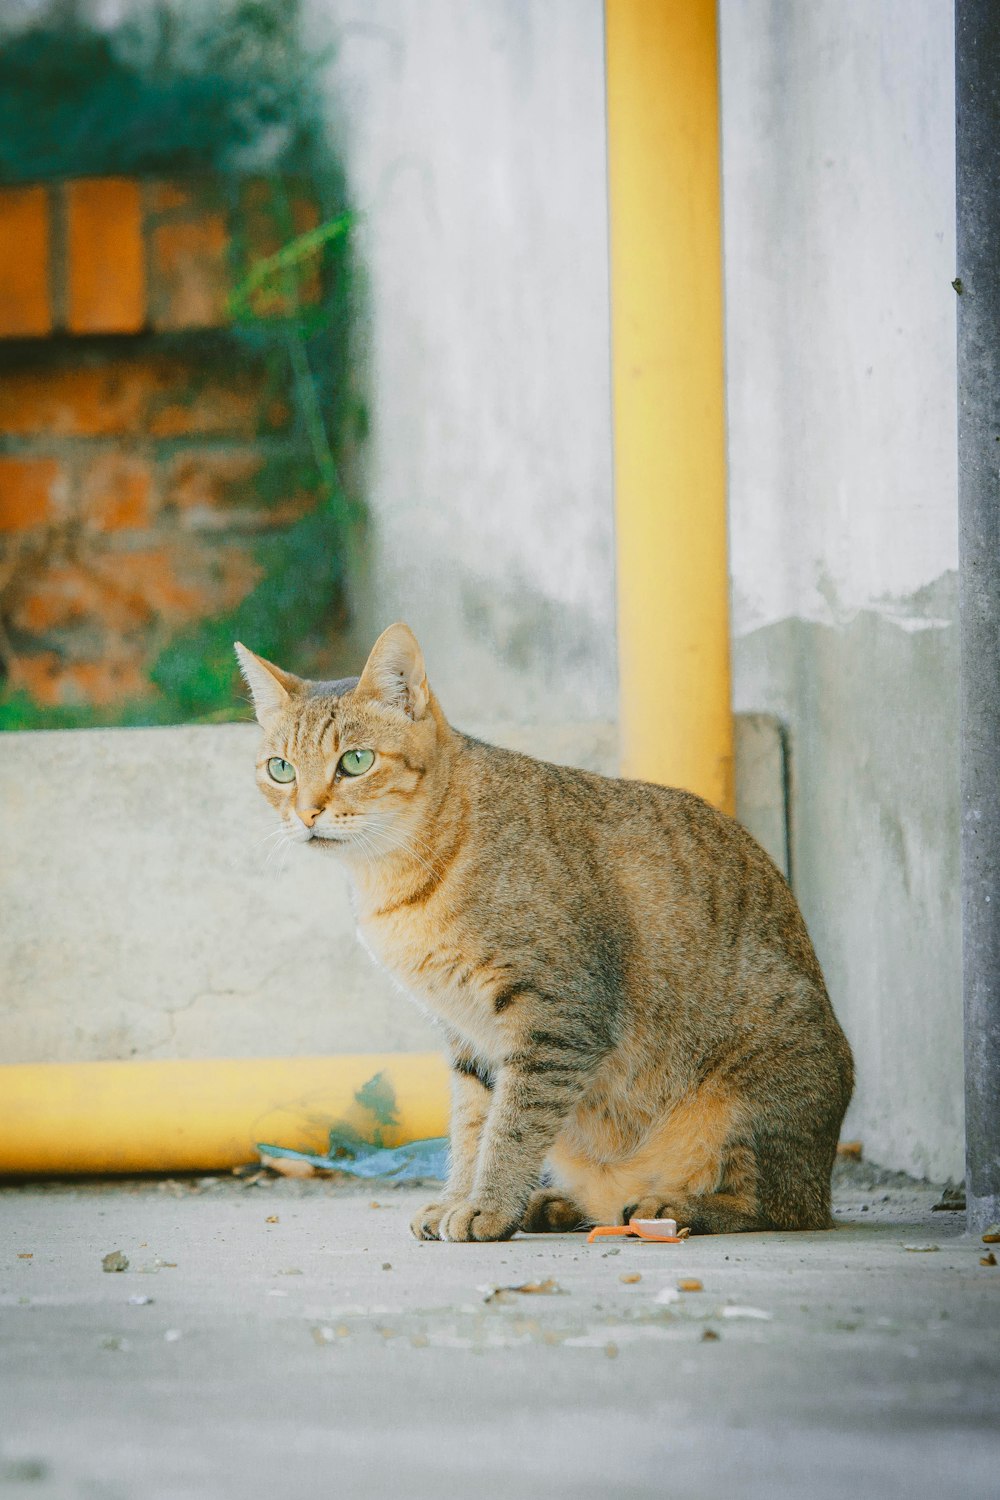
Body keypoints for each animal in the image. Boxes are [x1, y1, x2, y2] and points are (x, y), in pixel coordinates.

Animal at [235, 621, 851, 1242]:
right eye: (280, 768)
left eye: (356, 761)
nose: (306, 813)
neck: (396, 876)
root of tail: (822, 1182)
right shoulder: (468, 1038)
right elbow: (471, 1127)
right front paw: (458, 1199)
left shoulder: (557, 1017)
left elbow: (511, 1127)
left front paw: (486, 1206)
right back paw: (558, 1203)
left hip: (753, 1099)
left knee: (773, 1207)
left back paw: (671, 1206)